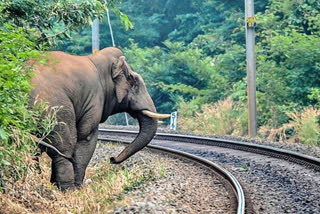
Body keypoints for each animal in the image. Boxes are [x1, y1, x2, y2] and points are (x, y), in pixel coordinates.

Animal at [29, 47, 170, 191]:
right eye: (134, 81)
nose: (112, 159)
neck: (97, 60)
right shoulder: (93, 99)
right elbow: (87, 137)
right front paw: (78, 188)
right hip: (55, 109)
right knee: (63, 147)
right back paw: (68, 189)